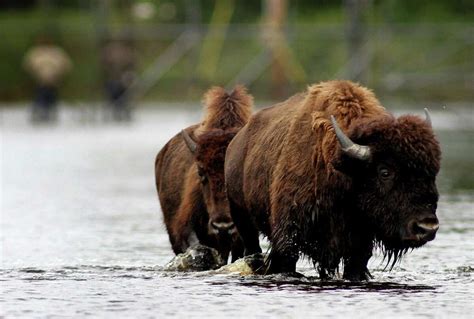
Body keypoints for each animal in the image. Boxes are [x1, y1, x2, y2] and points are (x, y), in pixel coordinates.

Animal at [225, 81, 440, 282]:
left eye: (432, 172)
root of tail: (236, 142)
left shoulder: (359, 249)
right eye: (385, 172)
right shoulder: (288, 241)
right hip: (243, 220)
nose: (427, 227)